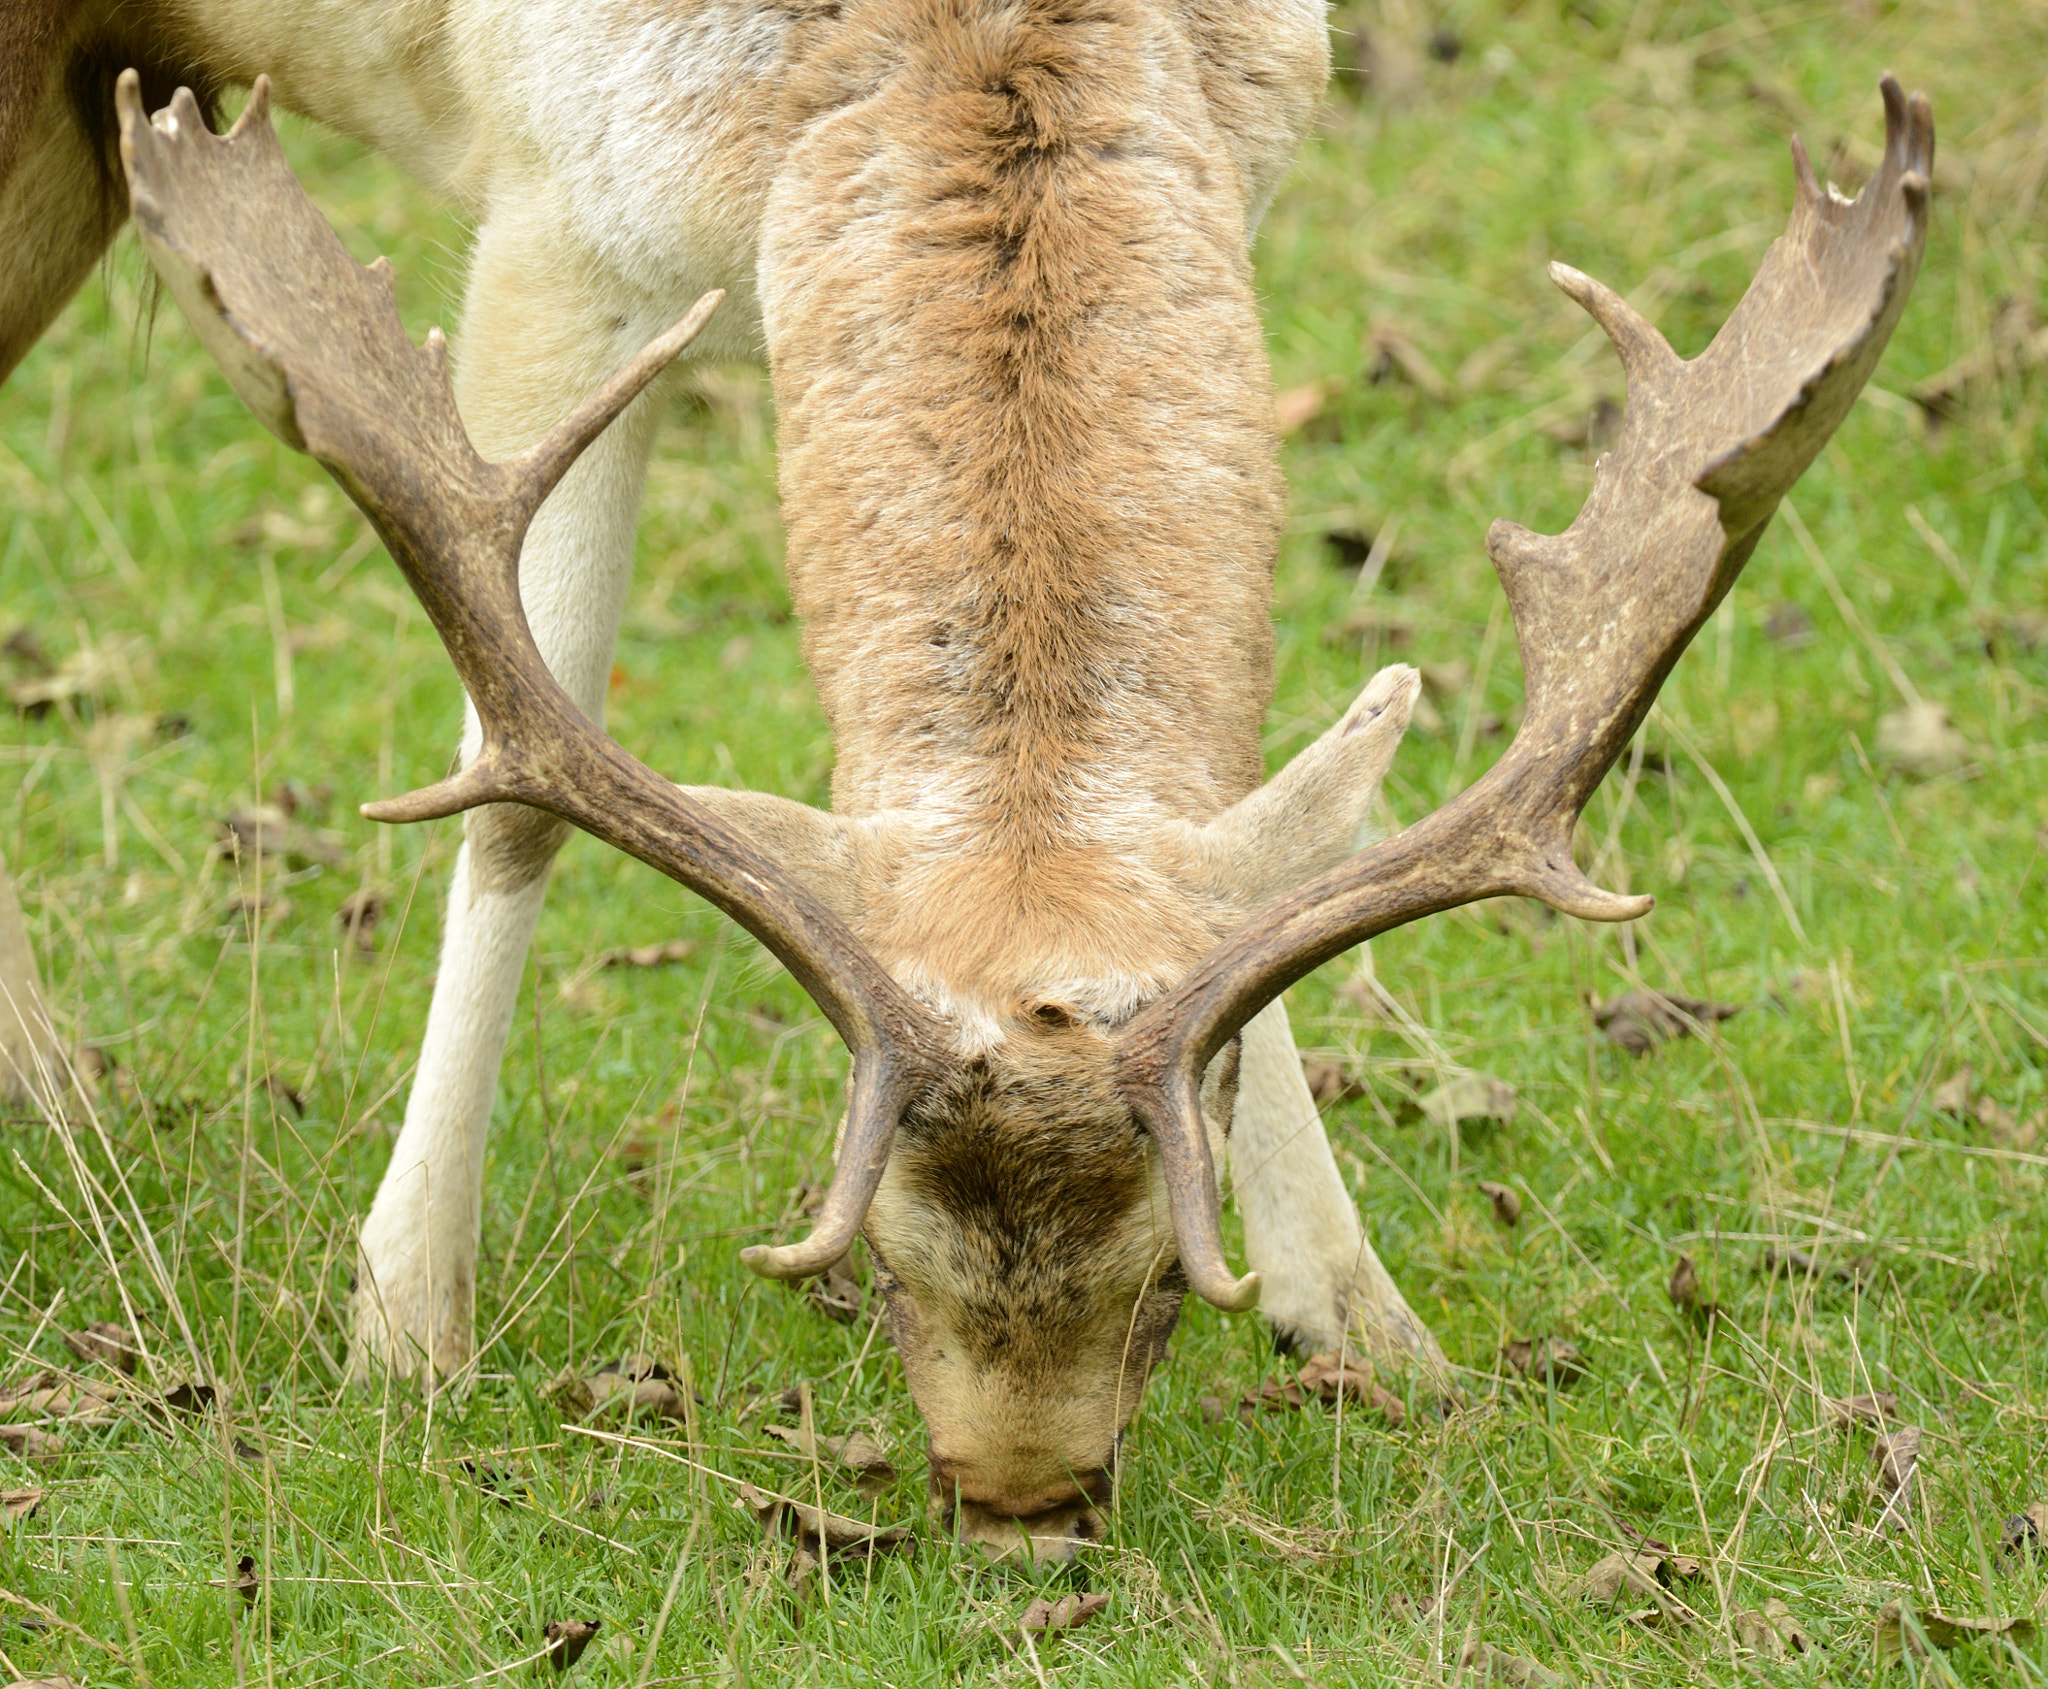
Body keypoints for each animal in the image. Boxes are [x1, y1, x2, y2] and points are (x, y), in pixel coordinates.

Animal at [12, 0, 1916, 1564]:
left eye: (1162, 1277)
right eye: (882, 1255)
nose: (1020, 1508)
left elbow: (1230, 839)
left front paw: (1368, 1321)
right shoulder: (555, 214)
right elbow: (512, 781)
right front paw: (403, 1326)